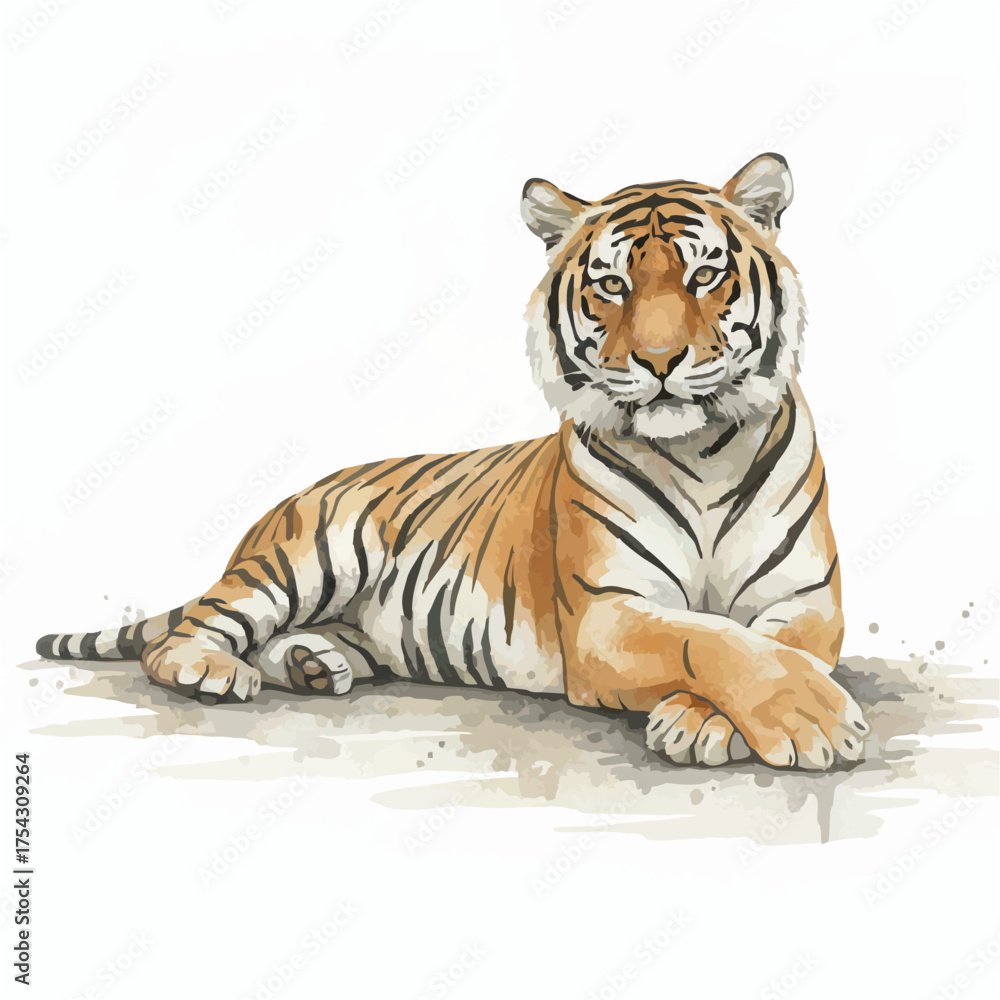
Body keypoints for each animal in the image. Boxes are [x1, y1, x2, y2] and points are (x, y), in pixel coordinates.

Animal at [36, 153, 869, 771]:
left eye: (704, 276)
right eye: (611, 284)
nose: (659, 361)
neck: (698, 453)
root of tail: (295, 496)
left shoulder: (808, 601)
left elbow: (767, 643)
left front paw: (706, 722)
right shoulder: (606, 611)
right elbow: (708, 640)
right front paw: (812, 722)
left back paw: (313, 665)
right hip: (300, 563)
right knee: (189, 632)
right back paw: (211, 671)